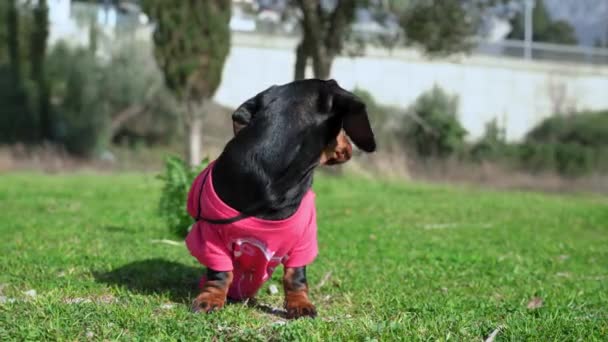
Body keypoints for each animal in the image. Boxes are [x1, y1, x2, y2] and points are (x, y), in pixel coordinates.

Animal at [185, 79, 376, 320]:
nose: (351, 148)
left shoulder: (303, 240)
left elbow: (295, 276)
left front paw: (300, 305)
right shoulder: (211, 236)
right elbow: (220, 273)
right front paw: (210, 299)